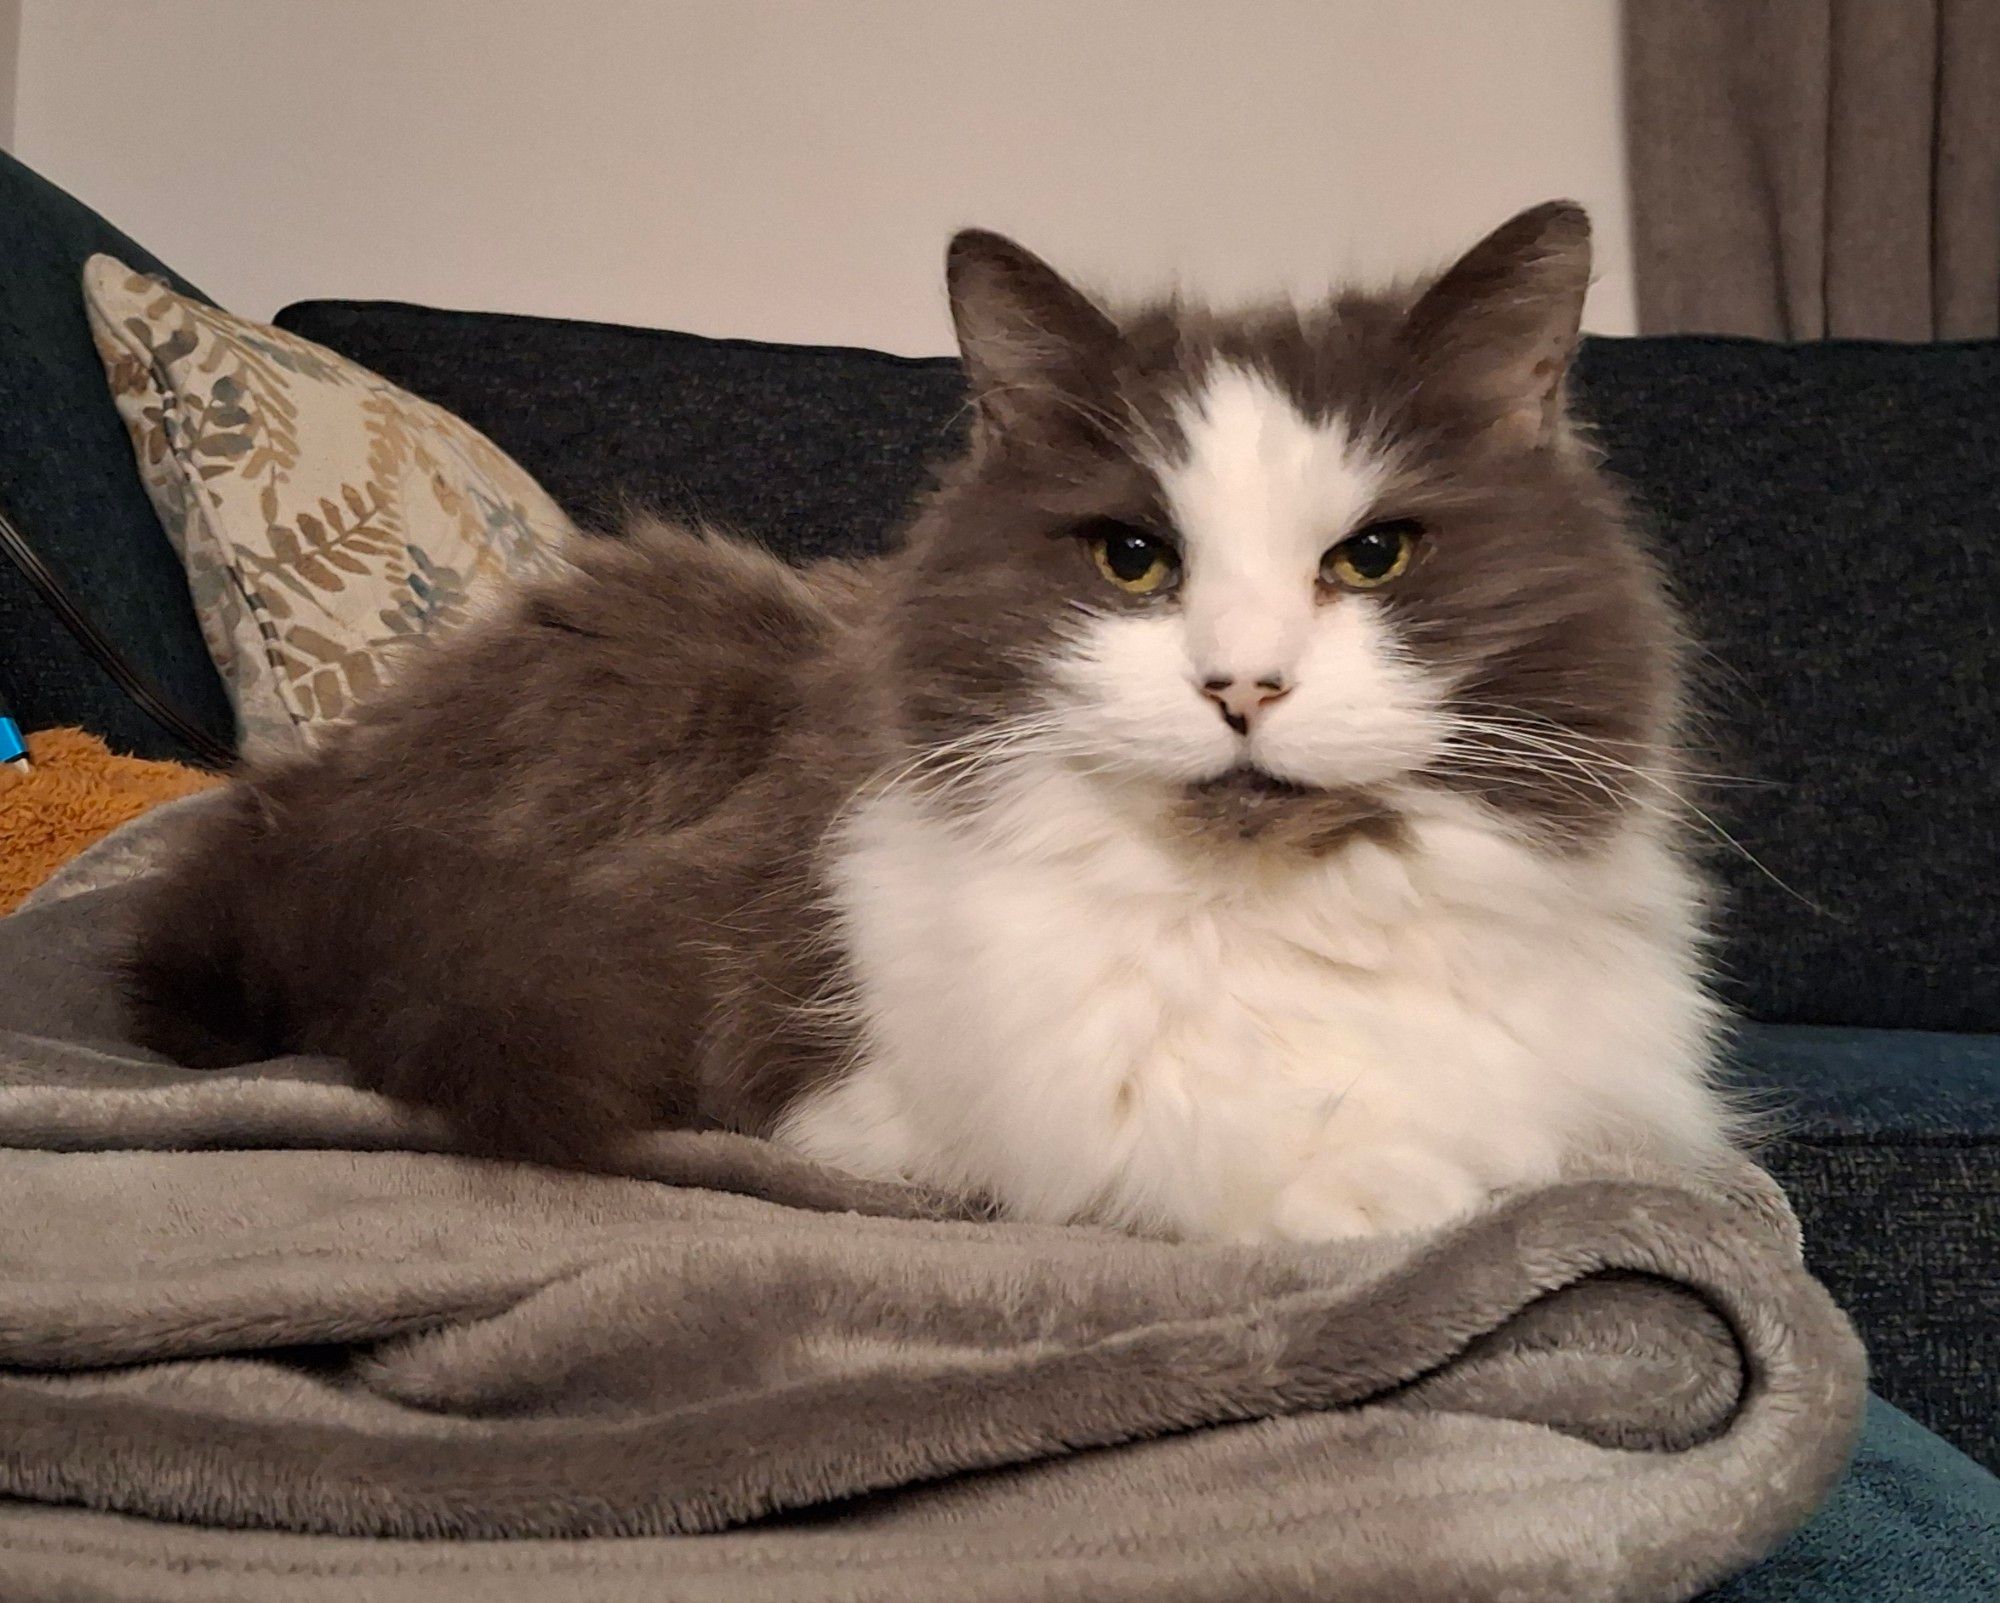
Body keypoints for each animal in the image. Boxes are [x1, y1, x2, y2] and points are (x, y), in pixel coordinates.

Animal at [121, 199, 1736, 1239]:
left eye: (1375, 557)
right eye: (1132, 559)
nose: (1242, 687)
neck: (1267, 915)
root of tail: (292, 816)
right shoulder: (852, 1096)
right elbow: (1210, 1154)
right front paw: (1378, 1189)